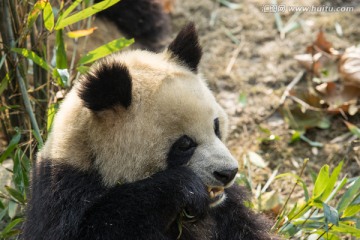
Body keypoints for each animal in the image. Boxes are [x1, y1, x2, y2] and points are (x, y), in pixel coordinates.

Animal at [23, 23, 272, 240]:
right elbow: (92, 228)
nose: (228, 172)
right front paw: (184, 188)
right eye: (184, 144)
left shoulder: (227, 208)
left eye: (216, 126)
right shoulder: (63, 189)